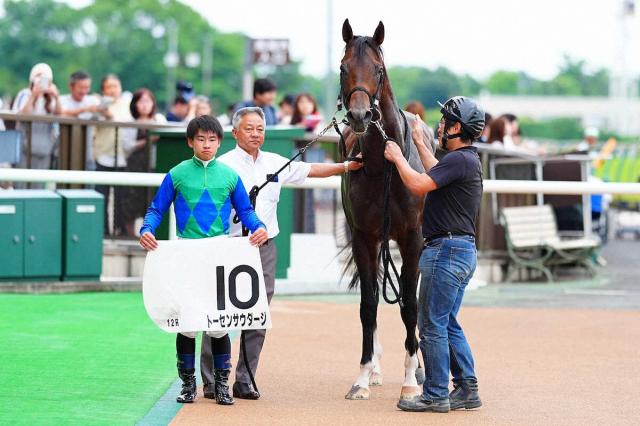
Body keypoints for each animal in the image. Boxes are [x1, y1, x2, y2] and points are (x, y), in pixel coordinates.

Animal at [339, 19, 436, 401]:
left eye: (378, 70)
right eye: (343, 68)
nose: (360, 115)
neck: (385, 167)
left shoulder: (412, 238)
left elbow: (410, 304)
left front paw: (411, 378)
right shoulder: (364, 238)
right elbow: (369, 304)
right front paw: (363, 377)